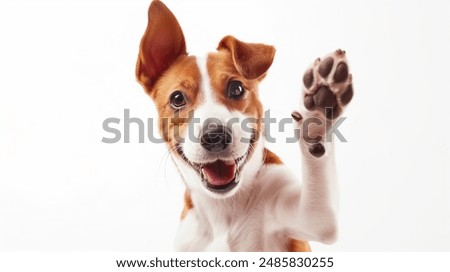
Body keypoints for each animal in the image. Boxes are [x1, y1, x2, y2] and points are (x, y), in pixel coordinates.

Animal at [135, 0, 354, 251]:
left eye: (236, 88)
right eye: (177, 98)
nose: (215, 136)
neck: (224, 209)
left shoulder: (312, 218)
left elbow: (320, 214)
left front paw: (320, 108)